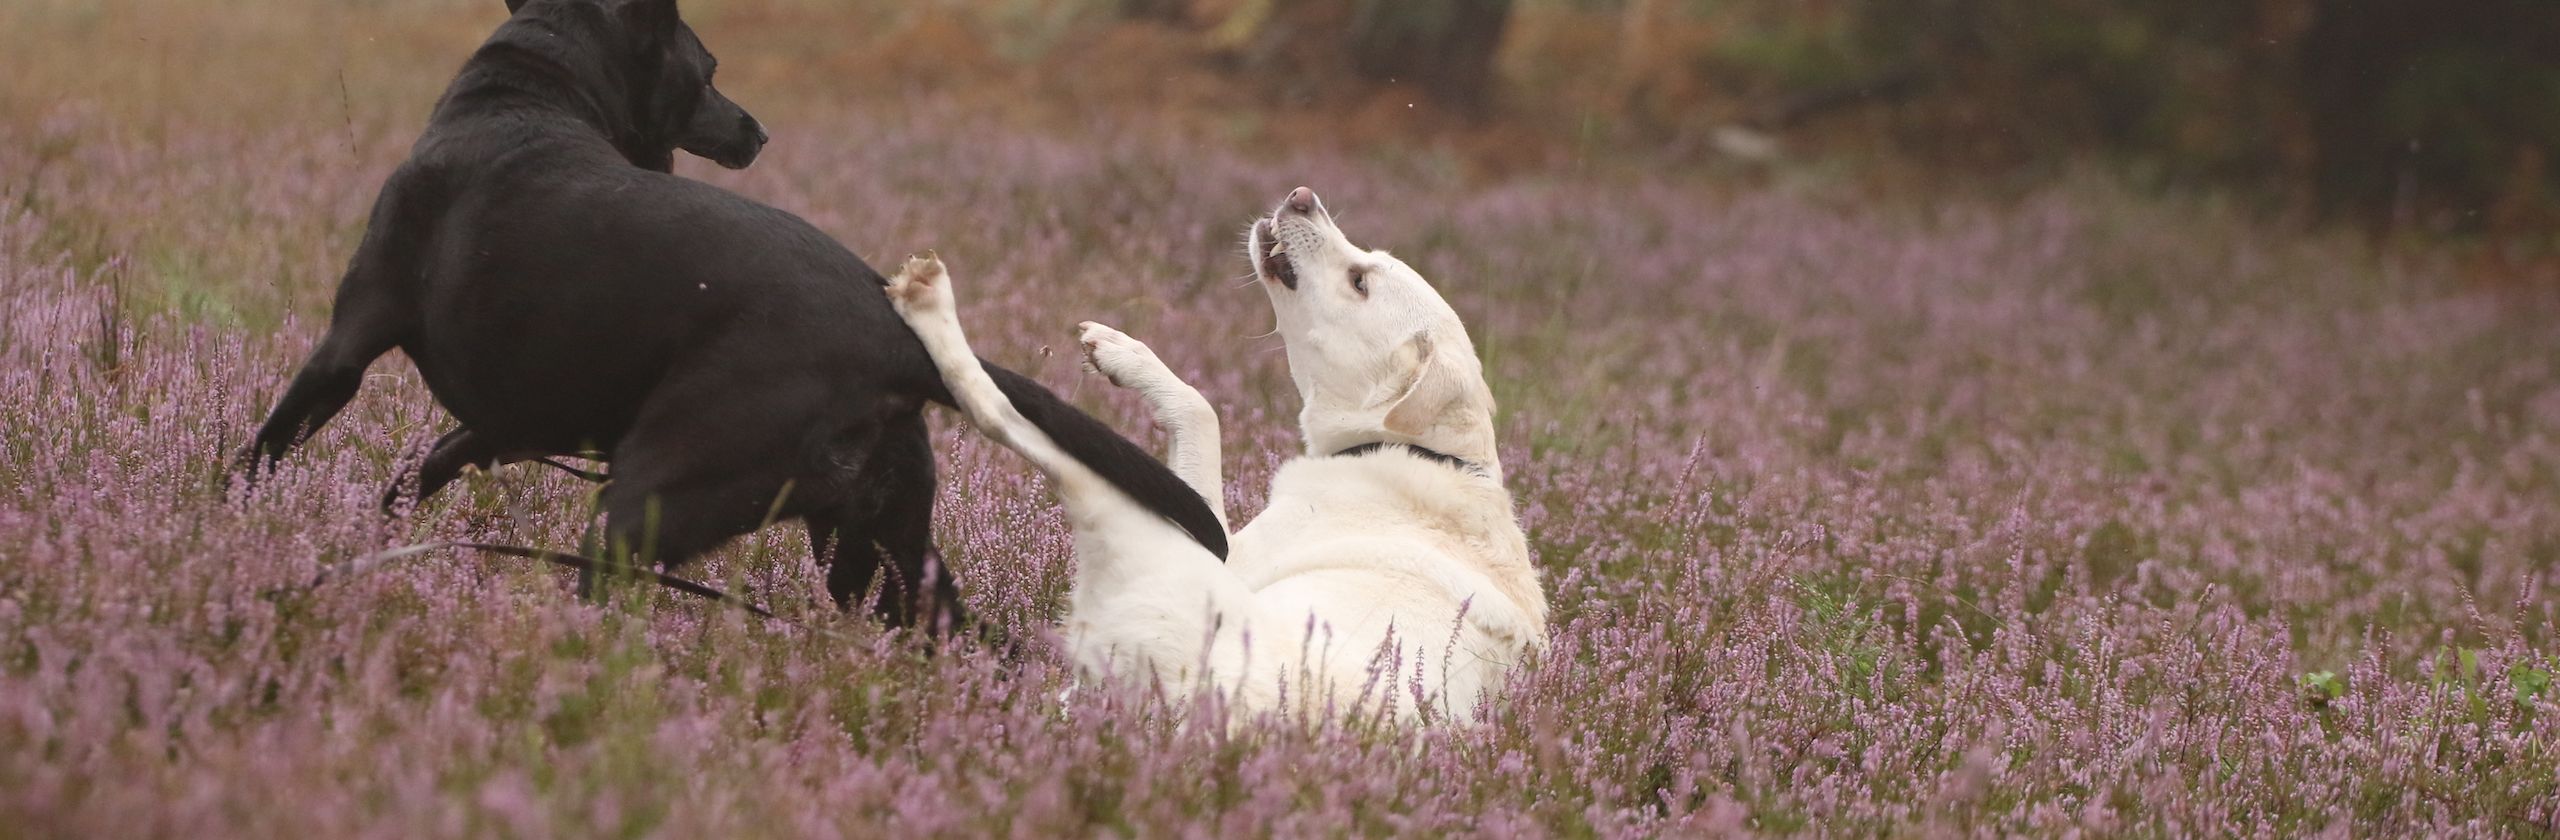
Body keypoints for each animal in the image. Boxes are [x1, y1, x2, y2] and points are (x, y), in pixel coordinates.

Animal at [240, 0, 1228, 630]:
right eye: (709, 69)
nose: (755, 130)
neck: (524, 96)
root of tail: (894, 336)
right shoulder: (506, 420)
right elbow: (425, 467)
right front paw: (374, 533)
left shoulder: (344, 349)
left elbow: (265, 448)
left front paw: (234, 529)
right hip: (878, 546)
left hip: (651, 502)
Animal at [890, 188, 1546, 722]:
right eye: (1367, 263)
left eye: (1360, 282)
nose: (1301, 195)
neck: (1428, 451)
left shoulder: (1223, 545)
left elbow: (1204, 411)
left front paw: (1126, 356)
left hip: (1135, 514)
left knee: (998, 409)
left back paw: (929, 302)